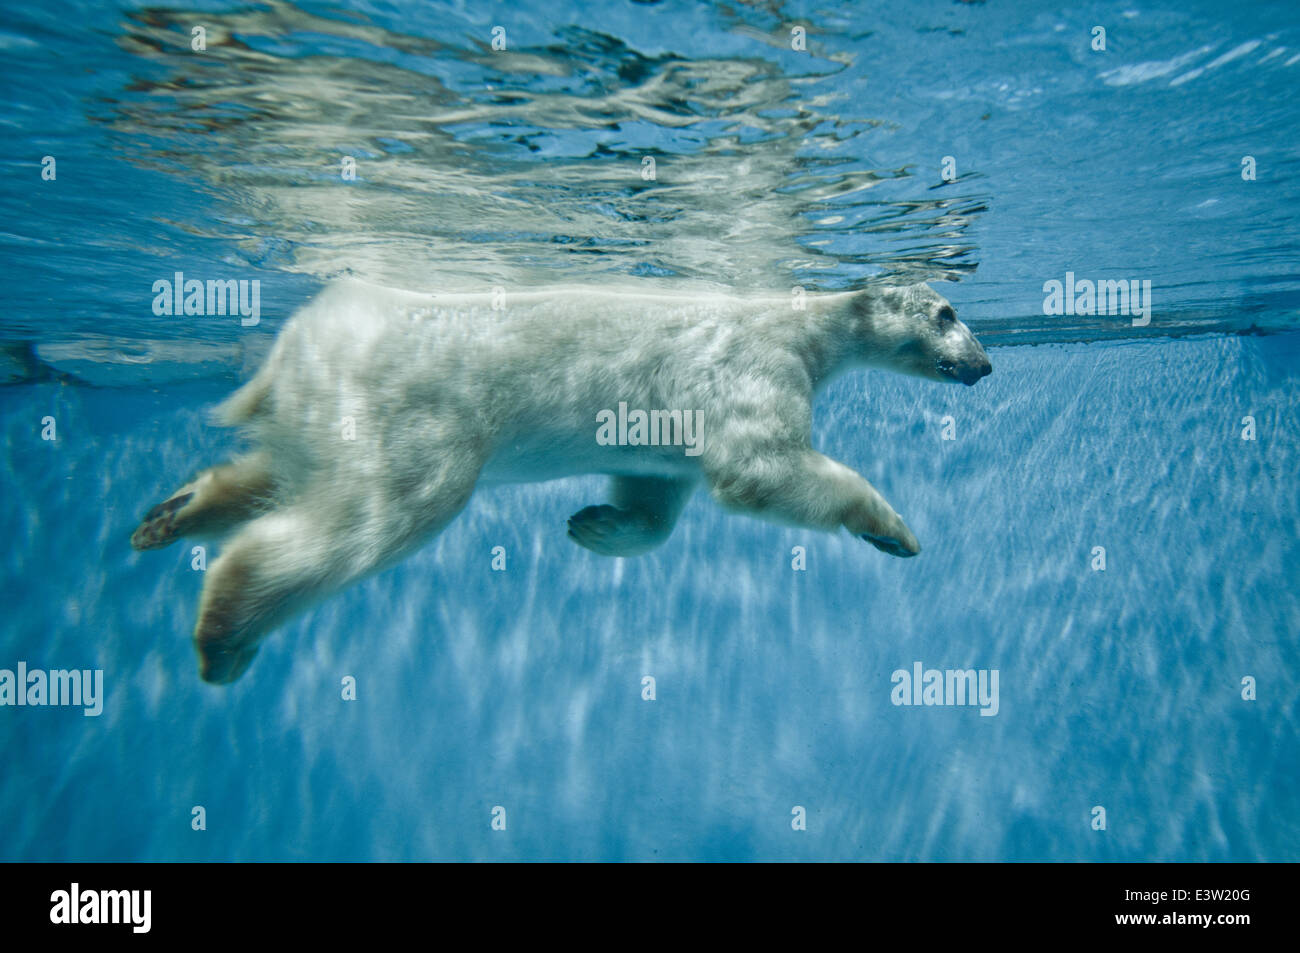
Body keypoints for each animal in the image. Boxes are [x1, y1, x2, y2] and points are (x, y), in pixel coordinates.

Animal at [129, 278, 982, 681]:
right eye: (947, 312)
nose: (985, 363)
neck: (806, 324)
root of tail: (298, 339)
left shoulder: (668, 422)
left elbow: (656, 487)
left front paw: (595, 524)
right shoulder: (754, 370)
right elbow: (759, 466)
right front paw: (893, 529)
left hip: (321, 404)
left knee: (280, 470)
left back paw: (171, 515)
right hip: (413, 408)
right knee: (385, 510)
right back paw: (227, 627)